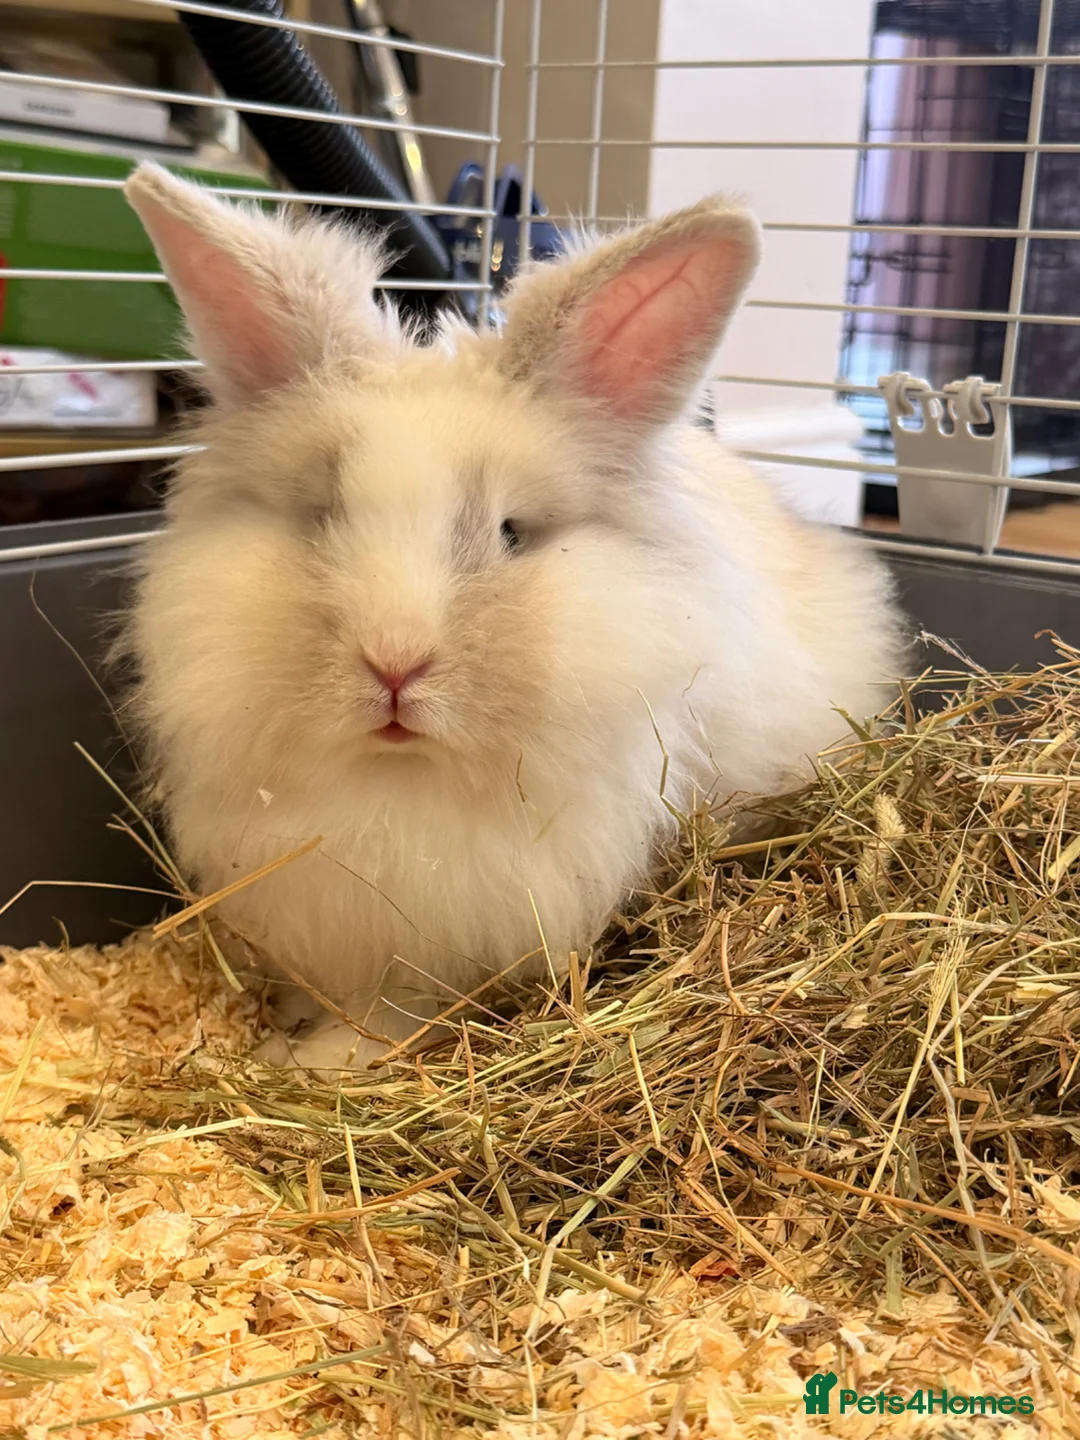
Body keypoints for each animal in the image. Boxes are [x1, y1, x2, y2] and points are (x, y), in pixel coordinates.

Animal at [121, 162, 905, 1074]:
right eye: (319, 517)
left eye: (511, 532)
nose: (395, 664)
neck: (404, 784)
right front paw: (299, 1055)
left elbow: (395, 1012)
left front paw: (335, 1064)